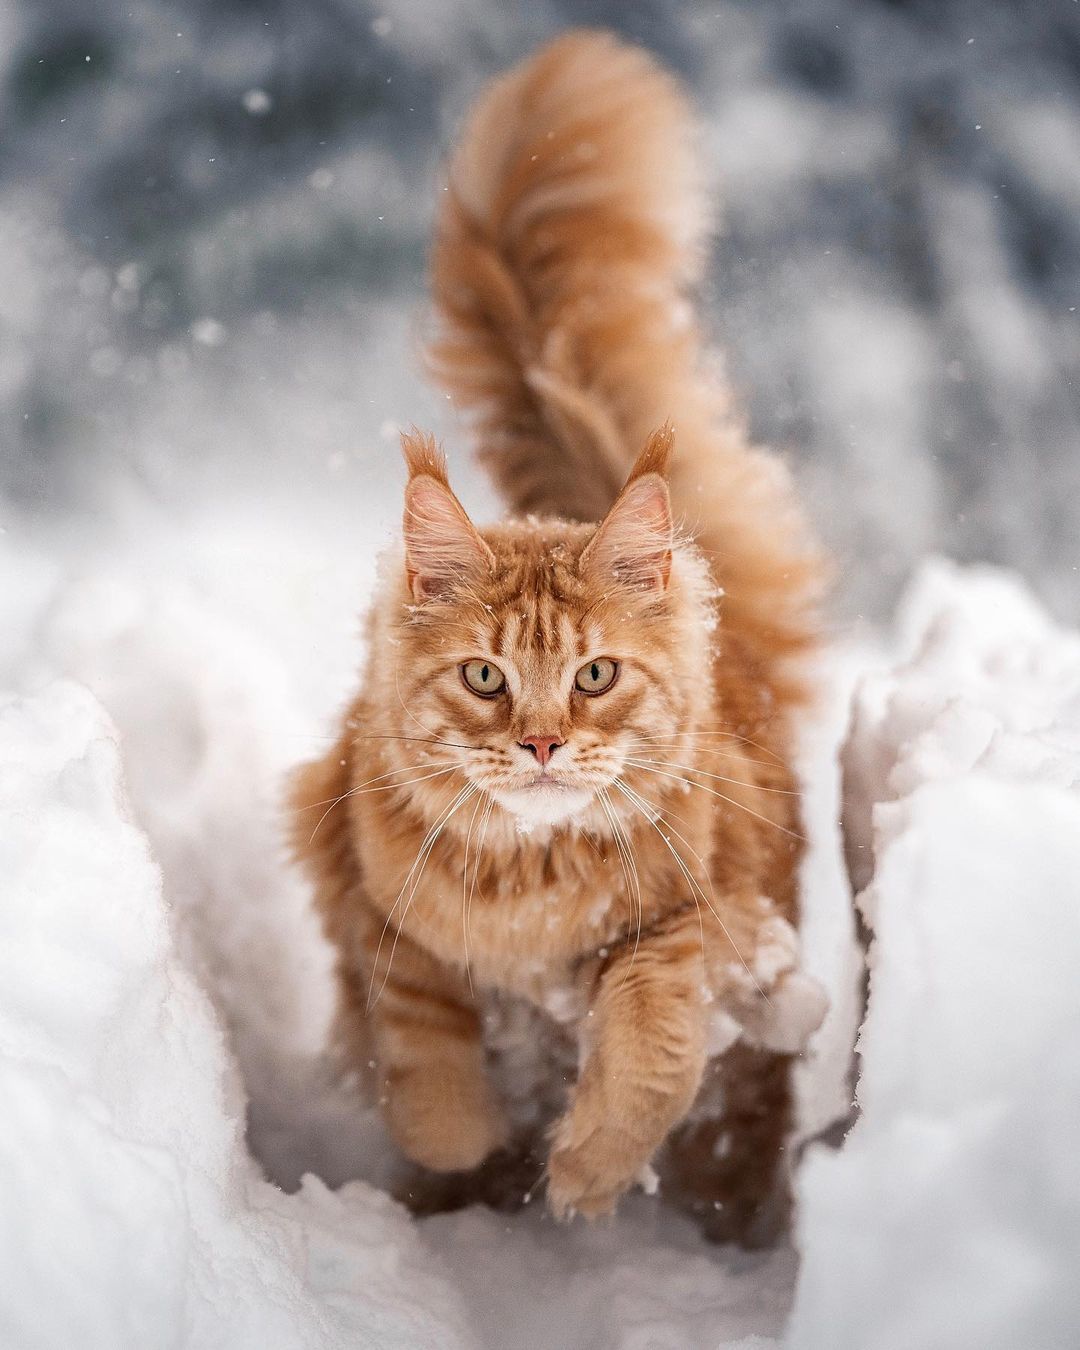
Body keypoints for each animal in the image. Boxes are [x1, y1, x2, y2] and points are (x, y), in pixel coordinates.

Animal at [288, 29, 826, 1242]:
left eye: (595, 675)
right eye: (487, 678)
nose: (538, 743)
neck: (527, 895)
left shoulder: (675, 927)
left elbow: (653, 1054)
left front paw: (582, 1174)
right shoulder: (384, 918)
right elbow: (421, 1060)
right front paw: (466, 1145)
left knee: (740, 1103)